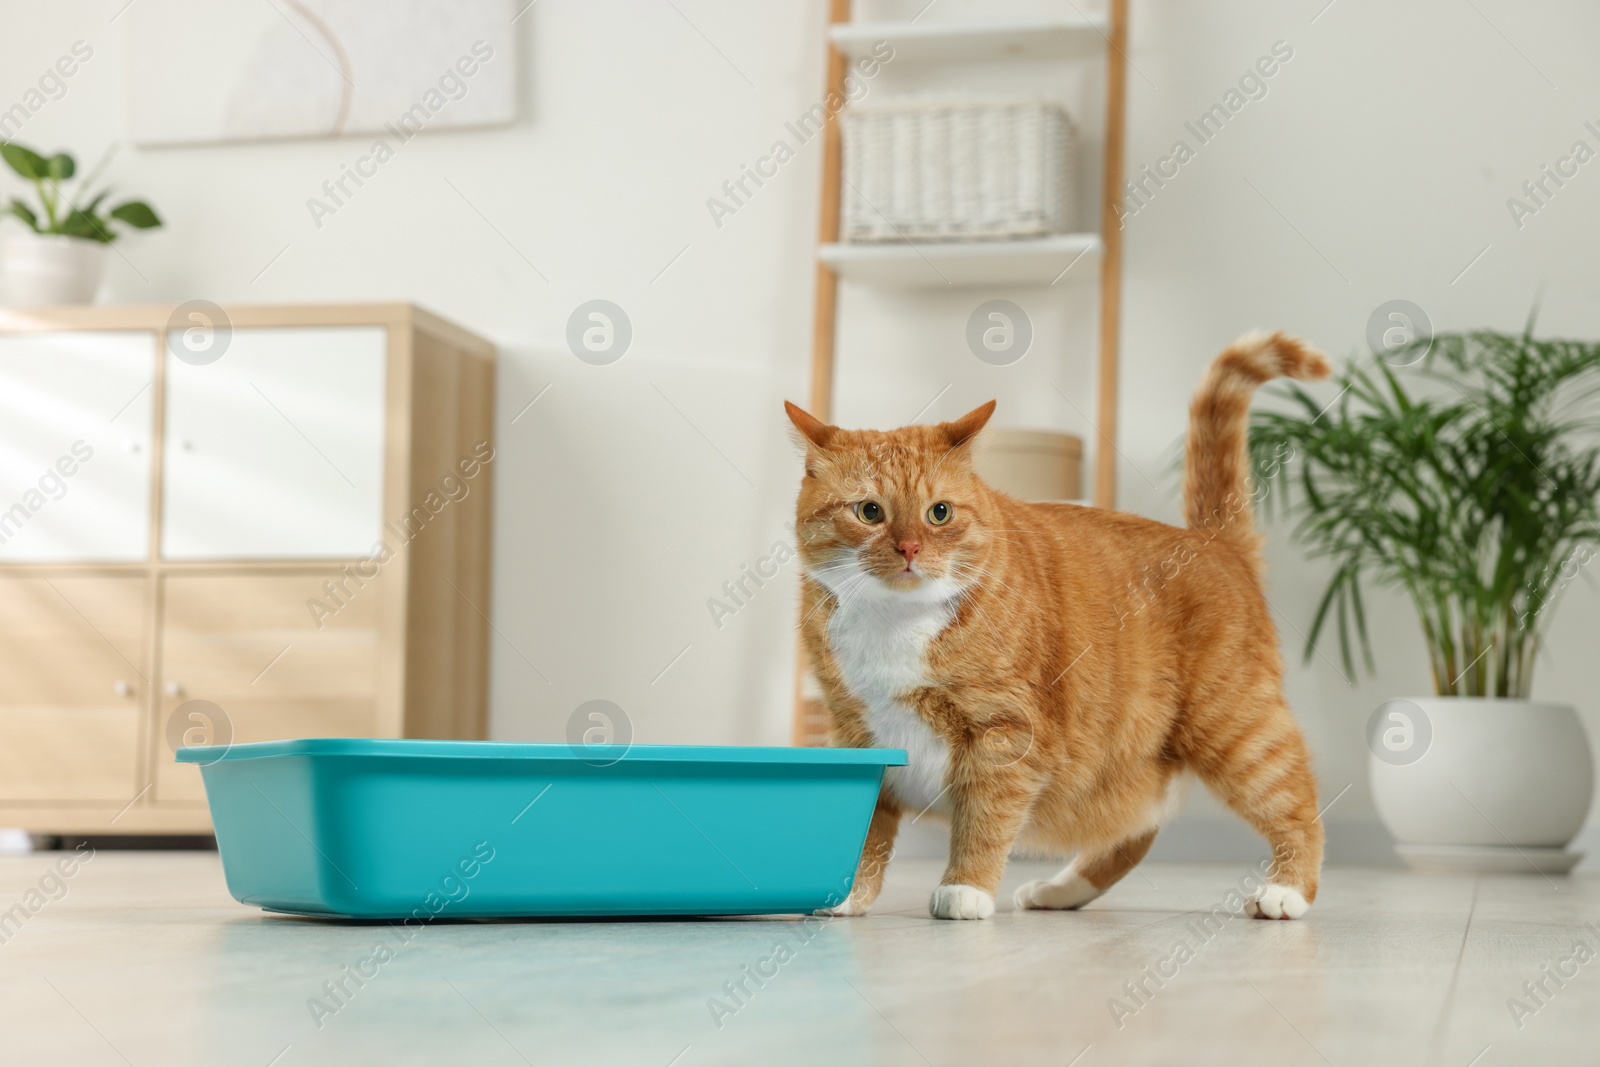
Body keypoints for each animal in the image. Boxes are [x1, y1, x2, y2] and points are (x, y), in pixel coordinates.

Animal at [787, 331, 1324, 921]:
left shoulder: (1006, 733)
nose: (909, 549)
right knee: (1135, 830)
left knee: (1298, 804)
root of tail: (1211, 540)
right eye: (869, 512)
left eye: (939, 513)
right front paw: (845, 892)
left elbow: (984, 821)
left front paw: (966, 889)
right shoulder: (855, 732)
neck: (895, 624)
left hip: (1235, 729)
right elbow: (866, 833)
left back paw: (1287, 891)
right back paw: (1062, 890)